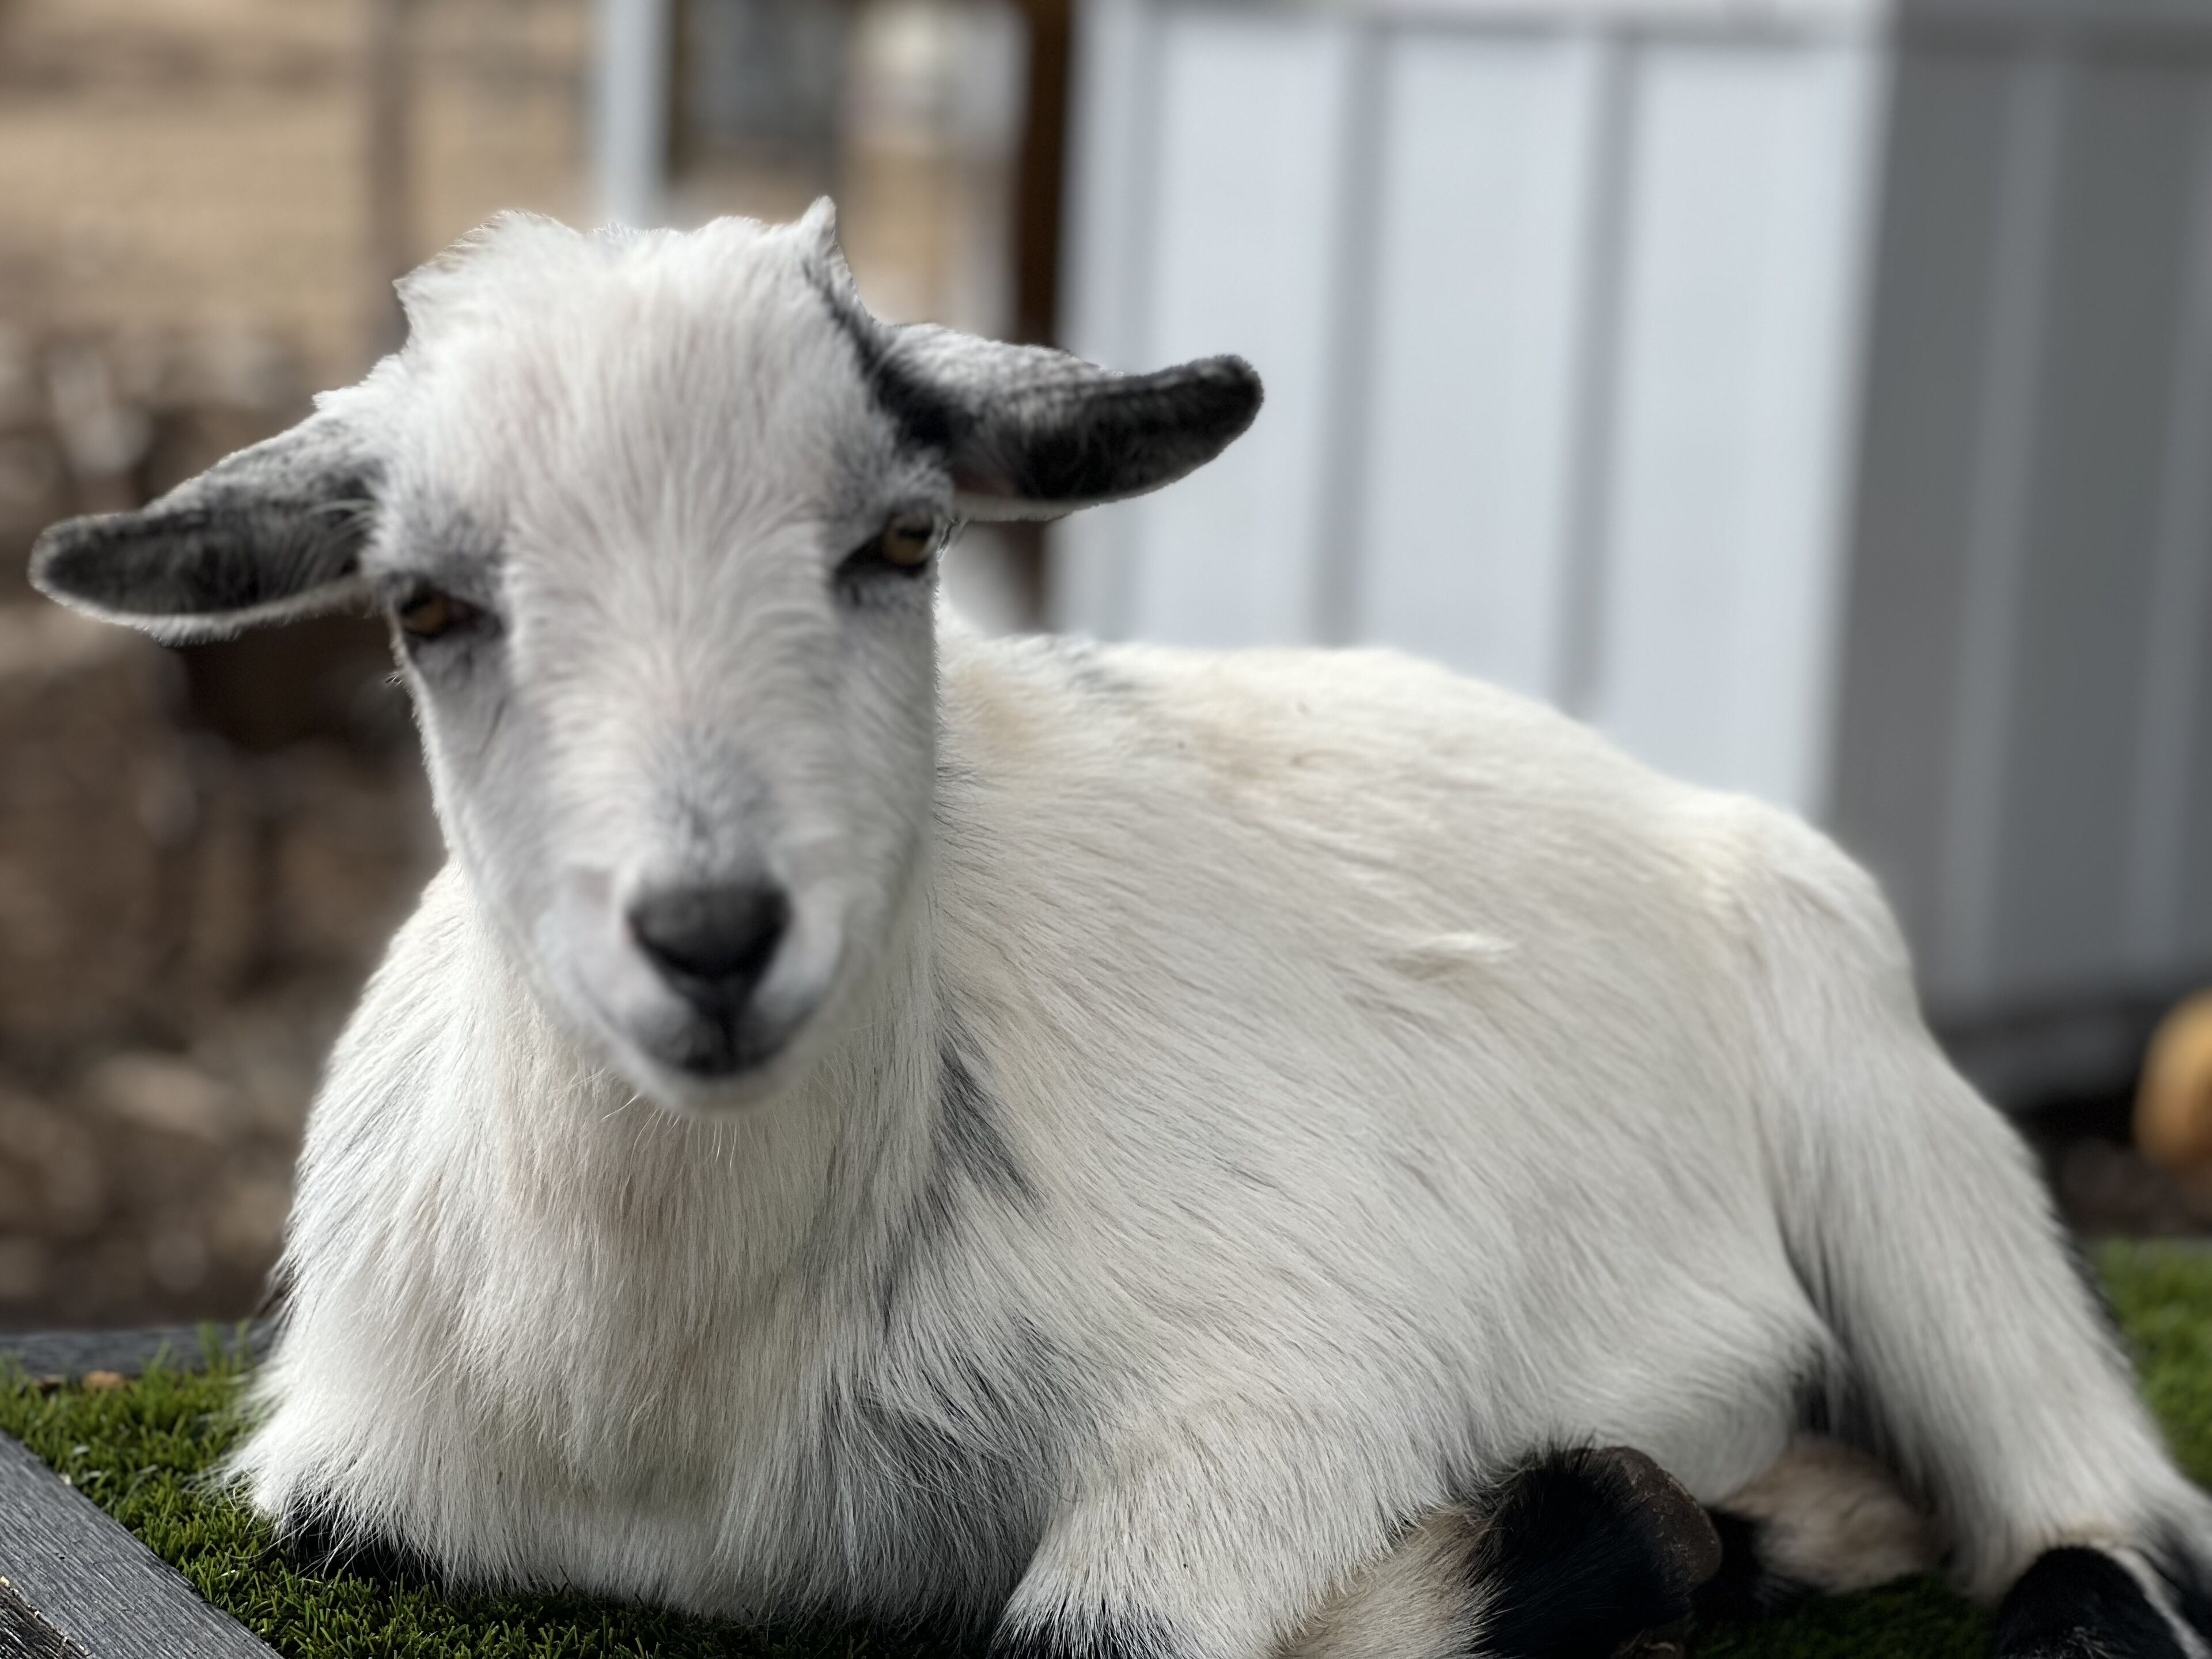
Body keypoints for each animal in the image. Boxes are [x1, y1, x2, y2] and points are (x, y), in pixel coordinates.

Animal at [32, 205, 2212, 1659]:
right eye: (425, 606)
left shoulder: (1301, 1375)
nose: (714, 934)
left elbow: (1101, 1629)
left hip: (1894, 1136)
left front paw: (1588, 1541)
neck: (690, 1389)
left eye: (903, 539)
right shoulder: (348, 1466)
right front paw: (1644, 1541)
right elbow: (341, 1522)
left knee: (2102, 1520)